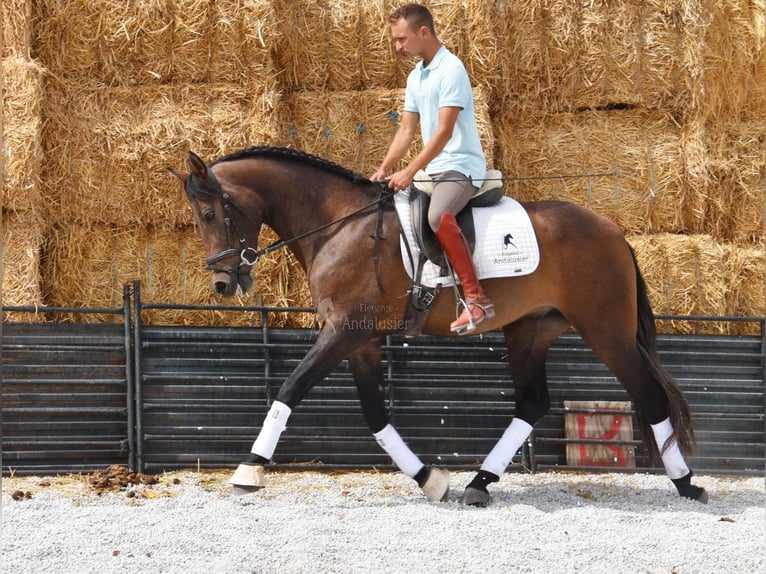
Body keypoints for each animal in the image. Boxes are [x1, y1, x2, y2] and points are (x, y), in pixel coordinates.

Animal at [172, 145, 708, 508]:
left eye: (209, 213)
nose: (222, 282)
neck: (340, 223)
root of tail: (613, 230)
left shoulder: (345, 330)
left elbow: (290, 387)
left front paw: (249, 469)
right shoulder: (359, 339)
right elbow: (374, 416)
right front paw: (430, 479)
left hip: (606, 331)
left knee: (649, 396)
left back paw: (686, 483)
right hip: (530, 331)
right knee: (532, 403)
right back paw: (478, 484)